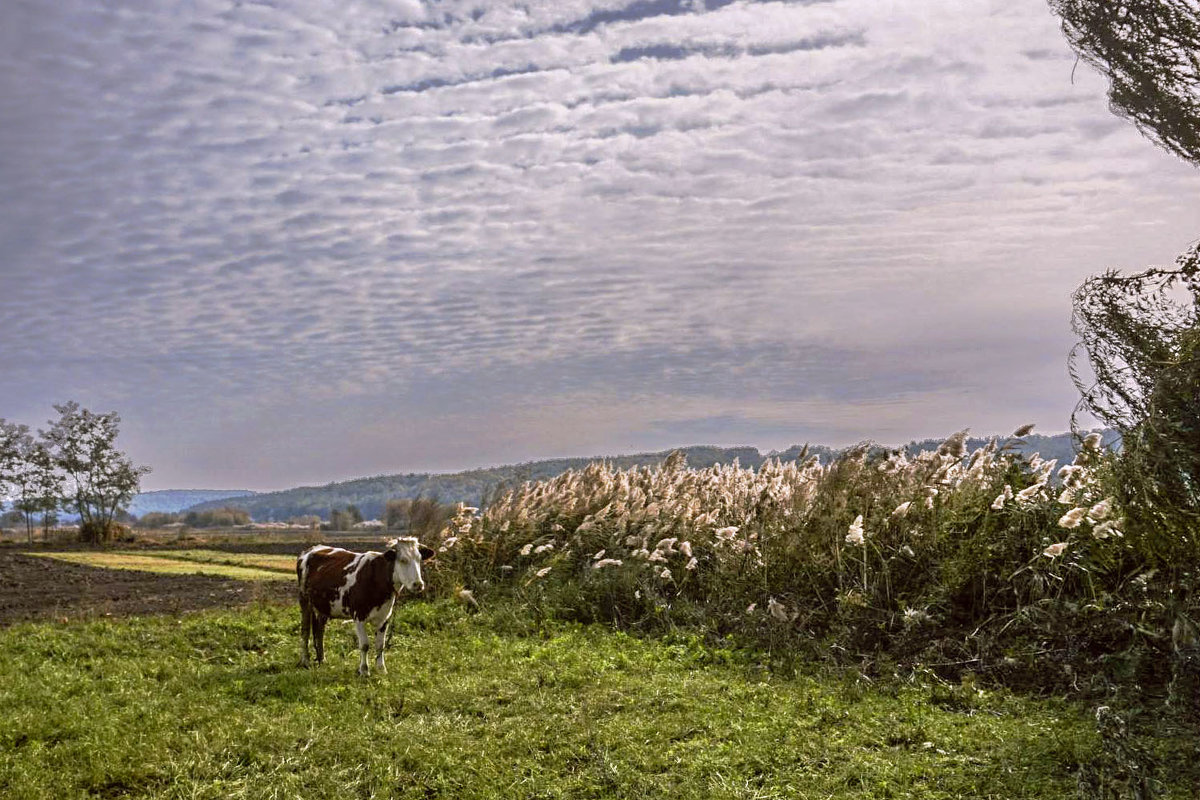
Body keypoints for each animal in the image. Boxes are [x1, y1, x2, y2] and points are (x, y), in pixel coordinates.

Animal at [296, 537, 436, 676]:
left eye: (419, 559)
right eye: (403, 560)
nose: (418, 584)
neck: (378, 579)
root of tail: (311, 549)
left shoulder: (384, 617)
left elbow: (380, 645)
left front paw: (381, 669)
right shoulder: (359, 616)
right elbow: (364, 645)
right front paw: (364, 670)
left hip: (324, 606)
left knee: (319, 631)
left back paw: (322, 660)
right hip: (304, 600)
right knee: (305, 631)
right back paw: (305, 661)